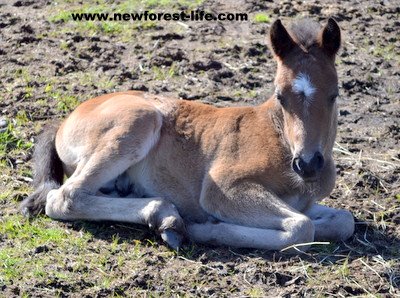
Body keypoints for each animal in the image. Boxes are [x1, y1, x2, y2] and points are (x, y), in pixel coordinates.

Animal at [21, 18, 354, 250]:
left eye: (335, 94)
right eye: (280, 96)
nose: (307, 164)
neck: (279, 139)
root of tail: (65, 120)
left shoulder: (305, 202)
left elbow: (343, 220)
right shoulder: (224, 188)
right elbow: (302, 227)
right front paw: (208, 230)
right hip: (138, 121)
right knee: (65, 197)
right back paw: (168, 218)